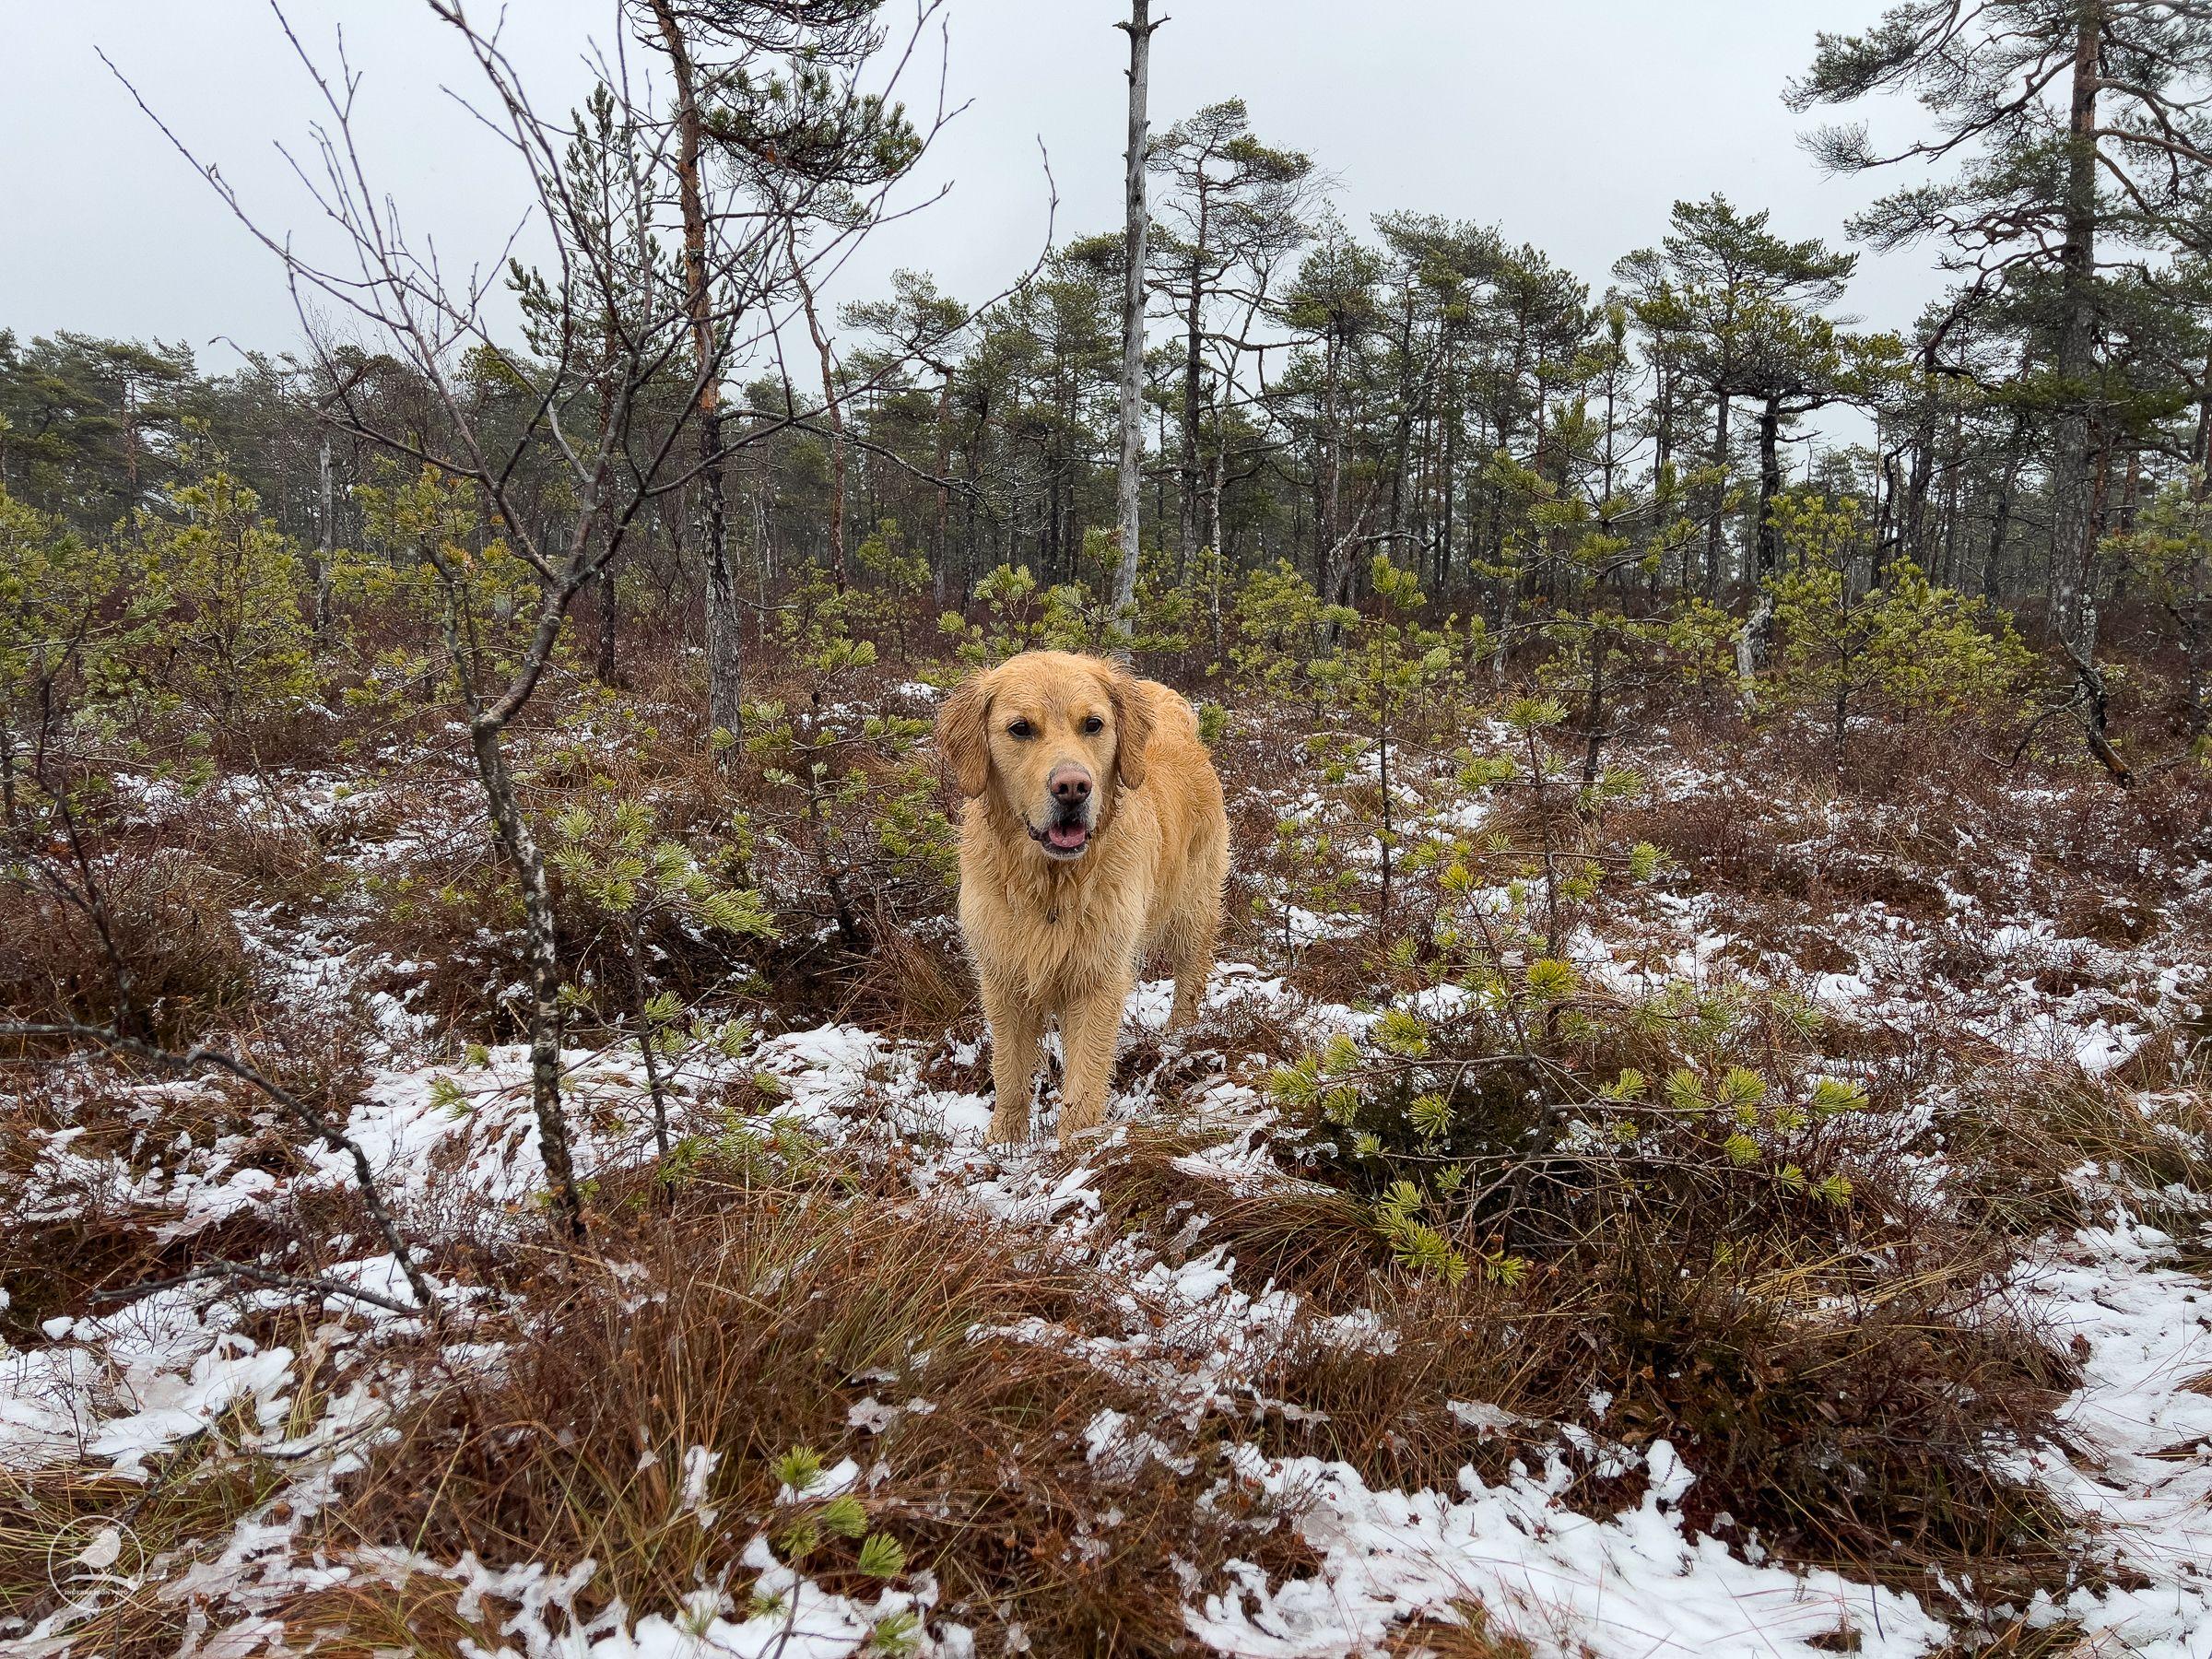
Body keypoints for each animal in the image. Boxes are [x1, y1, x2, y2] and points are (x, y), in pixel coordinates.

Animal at [933, 650, 1230, 1141]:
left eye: (1093, 724)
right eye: (1020, 728)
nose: (1073, 787)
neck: (1053, 882)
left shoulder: (1098, 976)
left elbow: (1085, 1079)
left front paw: (1076, 1147)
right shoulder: (1003, 977)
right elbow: (1010, 1071)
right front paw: (1003, 1142)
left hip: (1193, 907)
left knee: (1190, 977)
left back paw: (1178, 1040)